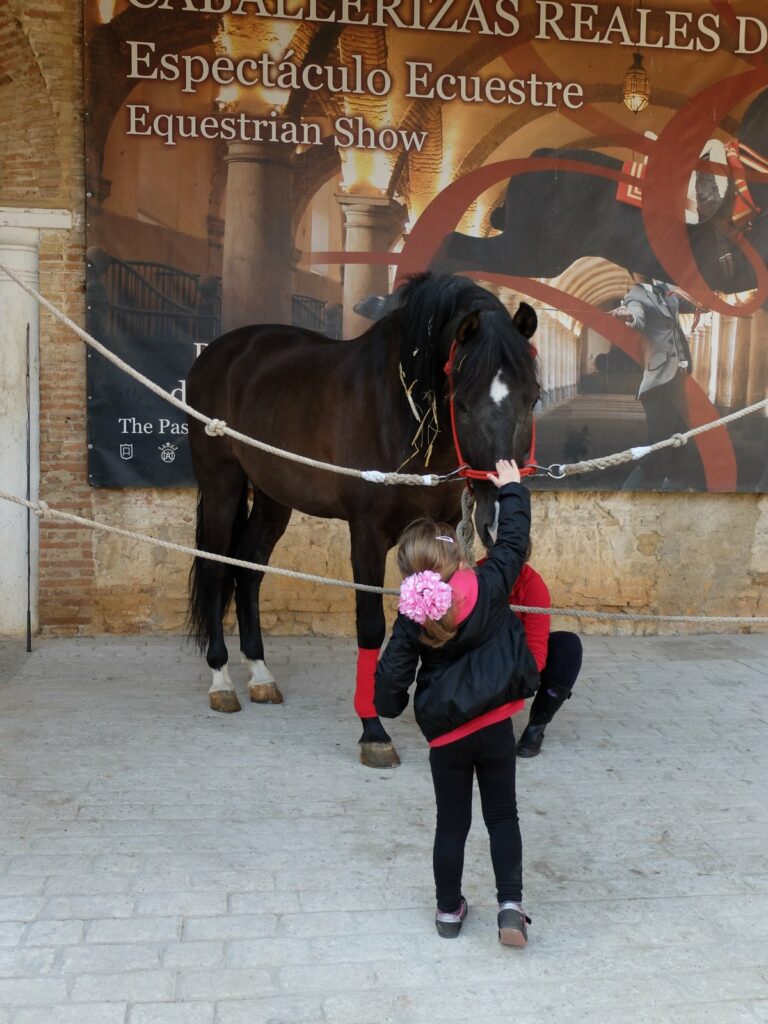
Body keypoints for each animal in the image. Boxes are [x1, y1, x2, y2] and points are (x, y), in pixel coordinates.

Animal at [185, 272, 536, 770]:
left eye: (532, 400)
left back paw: (260, 674)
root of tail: (219, 352)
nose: (499, 515)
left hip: (273, 497)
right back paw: (221, 680)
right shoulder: (366, 534)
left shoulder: (440, 528)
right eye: (463, 403)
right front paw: (374, 731)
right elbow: (370, 627)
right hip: (222, 485)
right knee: (216, 570)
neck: (399, 410)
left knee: (249, 570)